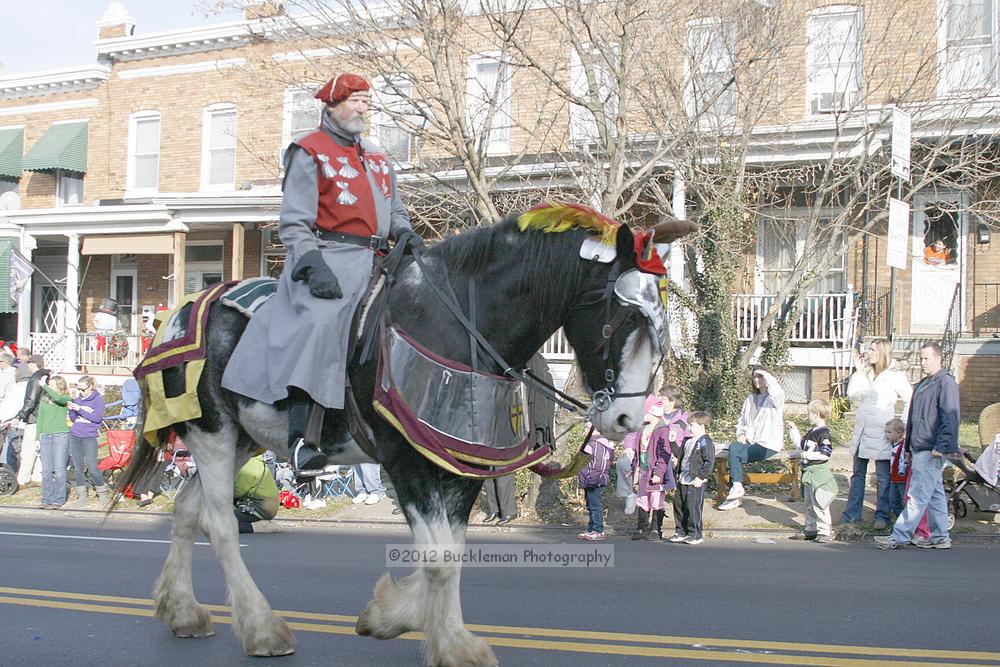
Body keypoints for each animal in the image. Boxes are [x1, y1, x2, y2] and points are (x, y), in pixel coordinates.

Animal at [119, 207, 696, 664]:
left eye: (662, 326)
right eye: (619, 321)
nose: (627, 420)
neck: (458, 325)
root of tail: (183, 312)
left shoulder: (461, 464)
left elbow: (450, 554)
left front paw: (412, 624)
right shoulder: (405, 461)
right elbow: (438, 555)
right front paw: (428, 632)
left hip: (243, 437)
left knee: (187, 509)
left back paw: (183, 611)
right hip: (212, 431)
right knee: (218, 522)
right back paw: (261, 628)